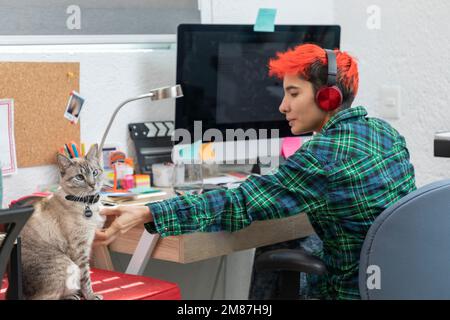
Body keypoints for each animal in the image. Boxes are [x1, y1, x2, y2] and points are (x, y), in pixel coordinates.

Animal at [14, 144, 106, 298]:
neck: (86, 204)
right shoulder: (79, 248)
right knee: (48, 297)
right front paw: (91, 296)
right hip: (67, 264)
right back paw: (72, 296)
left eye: (94, 172)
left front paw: (84, 294)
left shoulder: (87, 244)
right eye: (79, 177)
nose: (93, 185)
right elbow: (86, 277)